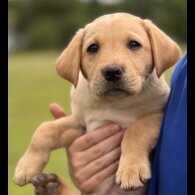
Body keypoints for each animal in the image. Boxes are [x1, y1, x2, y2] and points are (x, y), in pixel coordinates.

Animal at [13, 12, 181, 194]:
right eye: (93, 48)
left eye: (134, 44)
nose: (112, 72)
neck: (113, 103)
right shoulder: (81, 123)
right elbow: (46, 129)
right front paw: (25, 167)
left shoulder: (158, 113)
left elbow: (136, 130)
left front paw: (131, 170)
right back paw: (50, 186)